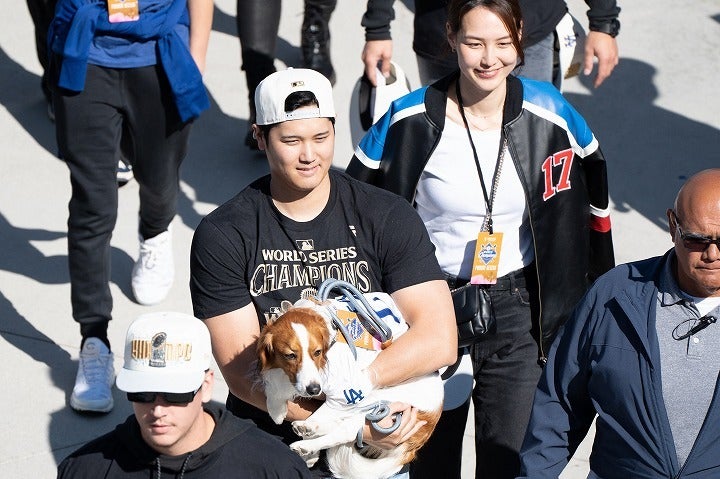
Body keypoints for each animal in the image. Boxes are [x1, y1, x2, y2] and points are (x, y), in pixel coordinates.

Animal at [256, 306, 442, 478]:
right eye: (290, 355)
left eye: (317, 352)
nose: (314, 390)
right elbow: (275, 386)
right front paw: (277, 410)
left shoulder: (346, 393)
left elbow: (324, 411)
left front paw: (308, 431)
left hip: (377, 401)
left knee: (345, 432)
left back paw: (307, 441)